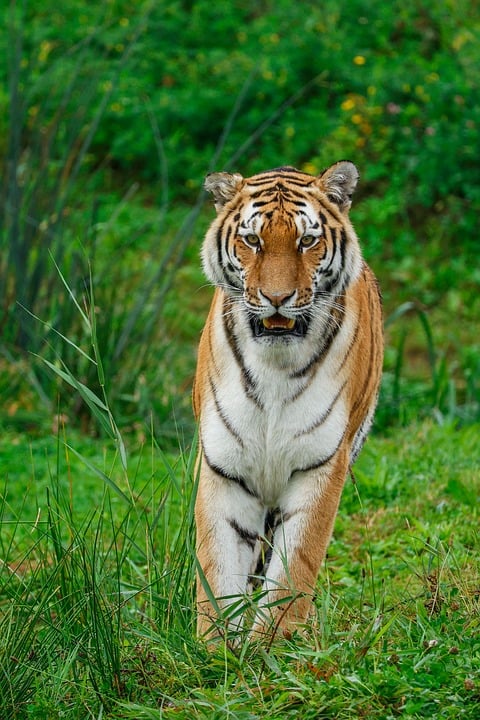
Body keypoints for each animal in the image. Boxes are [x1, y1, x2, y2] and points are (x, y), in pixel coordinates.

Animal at [191, 162, 382, 640]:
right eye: (252, 240)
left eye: (307, 241)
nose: (277, 299)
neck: (275, 366)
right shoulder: (223, 463)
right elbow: (218, 564)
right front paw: (214, 646)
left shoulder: (321, 464)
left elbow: (294, 567)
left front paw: (271, 642)